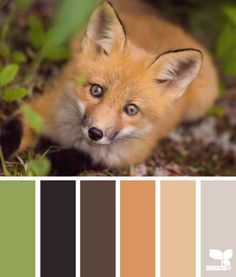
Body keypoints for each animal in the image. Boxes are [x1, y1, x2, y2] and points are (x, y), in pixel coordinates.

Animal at [0, 0, 218, 168]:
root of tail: (167, 23)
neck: (72, 137)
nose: (95, 133)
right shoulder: (38, 109)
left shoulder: (125, 156)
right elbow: (12, 131)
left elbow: (84, 156)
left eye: (131, 109)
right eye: (96, 90)